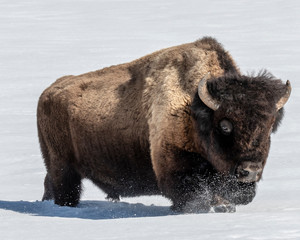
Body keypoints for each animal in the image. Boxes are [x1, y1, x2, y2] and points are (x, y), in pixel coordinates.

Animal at [37, 36, 290, 213]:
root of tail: (47, 93)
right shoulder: (174, 166)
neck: (194, 108)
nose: (251, 171)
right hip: (63, 168)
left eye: (269, 126)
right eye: (225, 125)